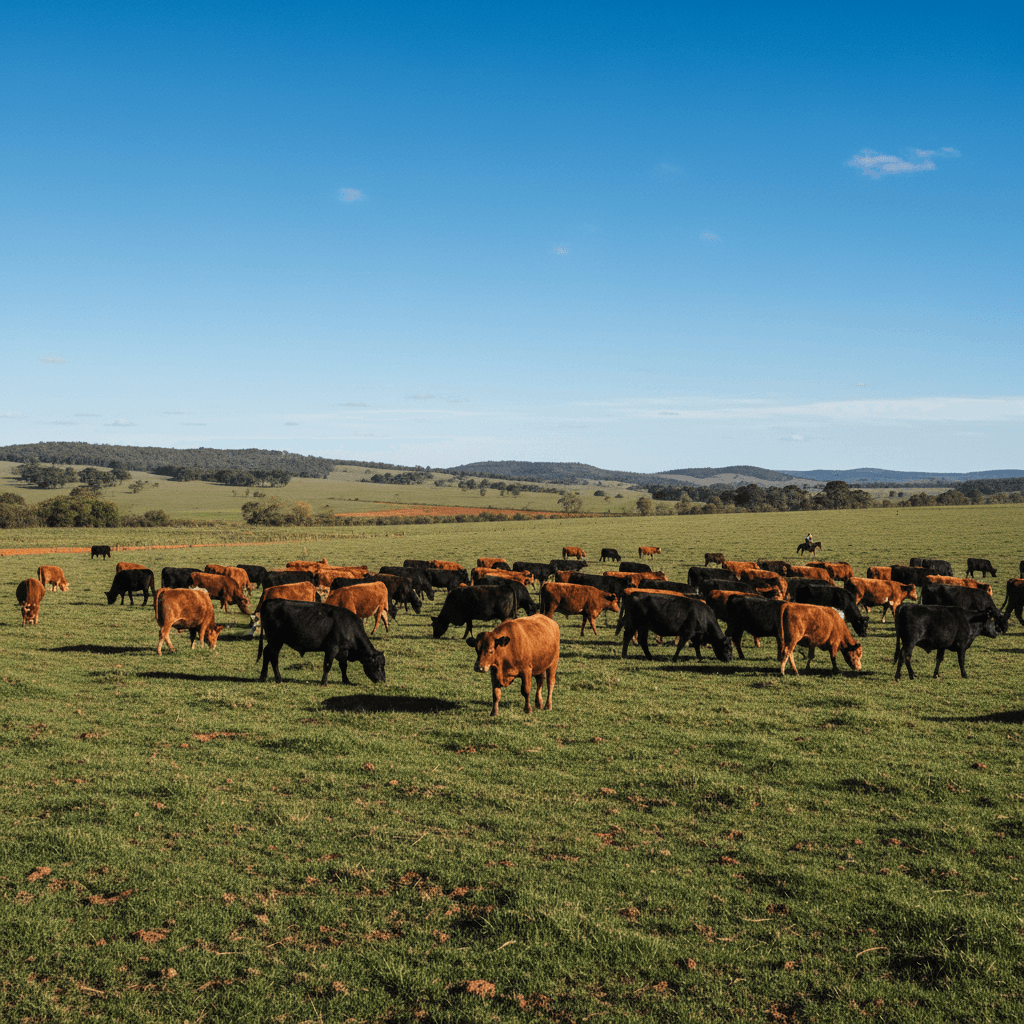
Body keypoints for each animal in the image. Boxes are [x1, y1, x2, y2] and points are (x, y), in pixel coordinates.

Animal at [256, 600, 386, 686]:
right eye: (377, 665)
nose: (383, 680)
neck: (349, 626)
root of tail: (269, 601)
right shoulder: (332, 648)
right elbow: (327, 665)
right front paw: (324, 682)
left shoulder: (343, 651)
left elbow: (343, 666)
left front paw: (346, 680)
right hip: (276, 640)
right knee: (273, 657)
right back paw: (278, 679)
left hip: (273, 641)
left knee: (266, 652)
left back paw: (263, 676)